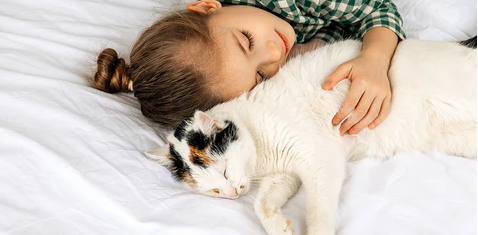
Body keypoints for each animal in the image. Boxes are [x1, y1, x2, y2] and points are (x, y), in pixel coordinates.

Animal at [148, 39, 476, 234]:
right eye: (214, 191)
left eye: (226, 171)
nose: (233, 194)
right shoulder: (284, 174)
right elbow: (261, 204)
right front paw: (279, 226)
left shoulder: (319, 160)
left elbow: (318, 211)